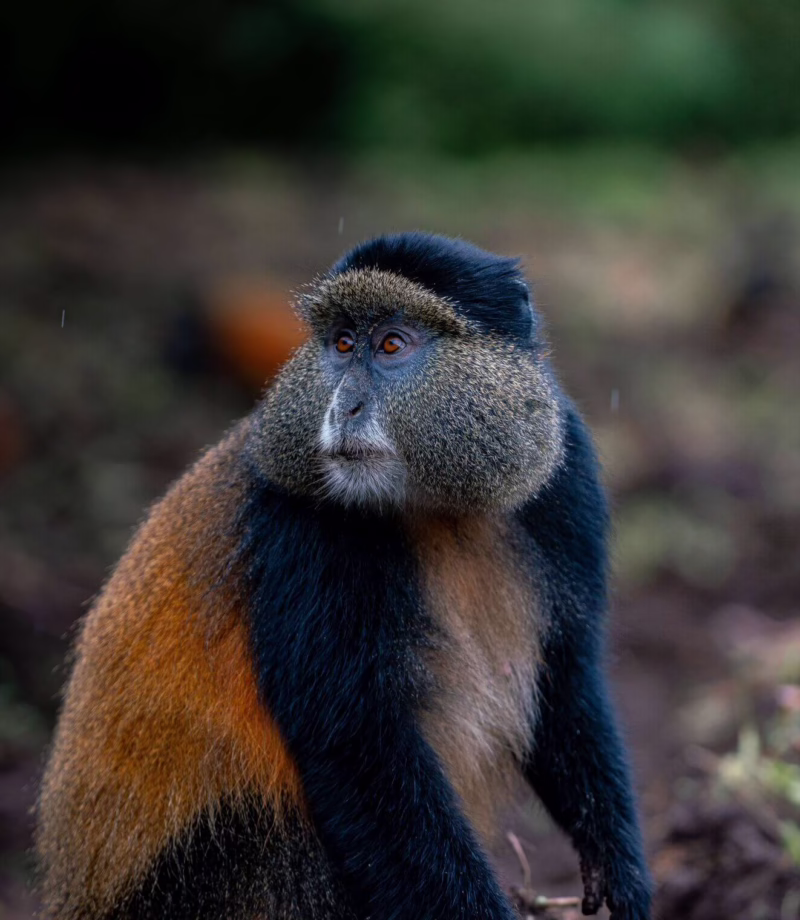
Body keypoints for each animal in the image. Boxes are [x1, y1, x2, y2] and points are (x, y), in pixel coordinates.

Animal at [36, 232, 652, 920]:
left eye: (391, 345)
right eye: (341, 344)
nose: (343, 406)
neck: (437, 507)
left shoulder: (567, 477)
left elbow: (566, 680)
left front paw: (618, 871)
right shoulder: (301, 526)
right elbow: (356, 746)